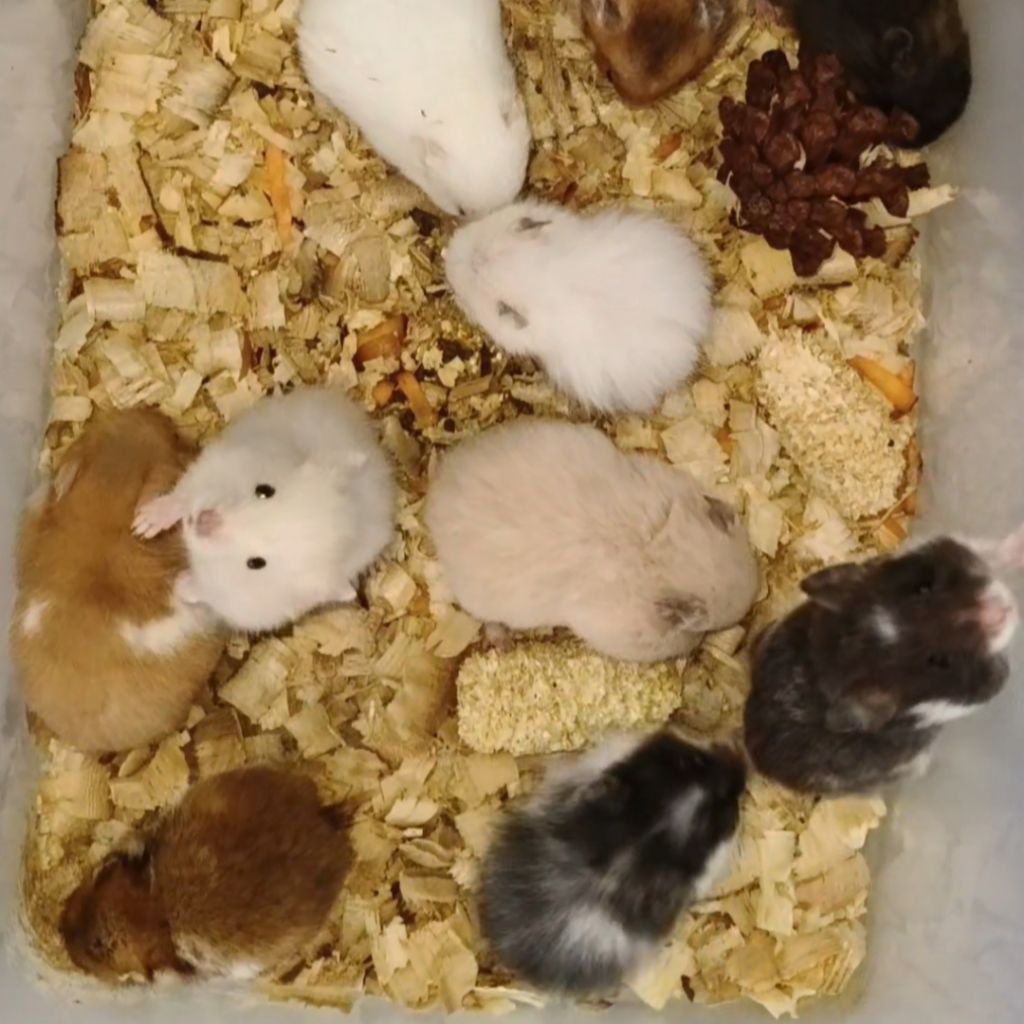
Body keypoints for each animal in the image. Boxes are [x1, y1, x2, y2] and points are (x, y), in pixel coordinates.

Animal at [133, 387, 396, 634]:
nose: (200, 521)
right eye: (264, 491)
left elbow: (203, 590)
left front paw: (178, 585)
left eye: (256, 563)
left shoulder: (236, 602)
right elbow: (184, 495)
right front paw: (142, 525)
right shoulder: (215, 466)